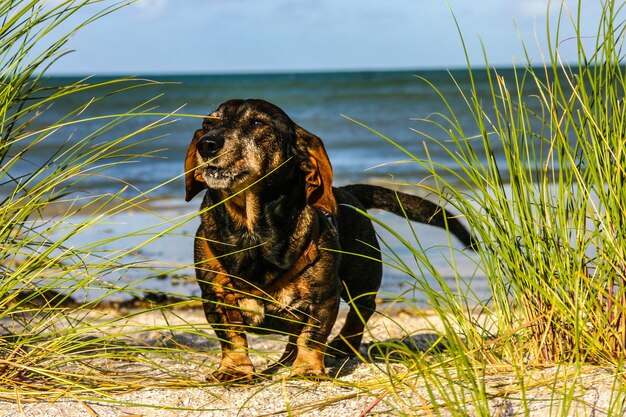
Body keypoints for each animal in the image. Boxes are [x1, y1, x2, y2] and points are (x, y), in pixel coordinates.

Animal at [185, 99, 472, 382]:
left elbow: (312, 337)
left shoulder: (323, 298)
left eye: (257, 122)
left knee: (362, 309)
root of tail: (345, 192)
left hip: (361, 276)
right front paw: (235, 369)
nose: (207, 144)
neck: (251, 232)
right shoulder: (214, 298)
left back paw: (343, 345)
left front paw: (307, 368)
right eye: (207, 123)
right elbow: (231, 338)